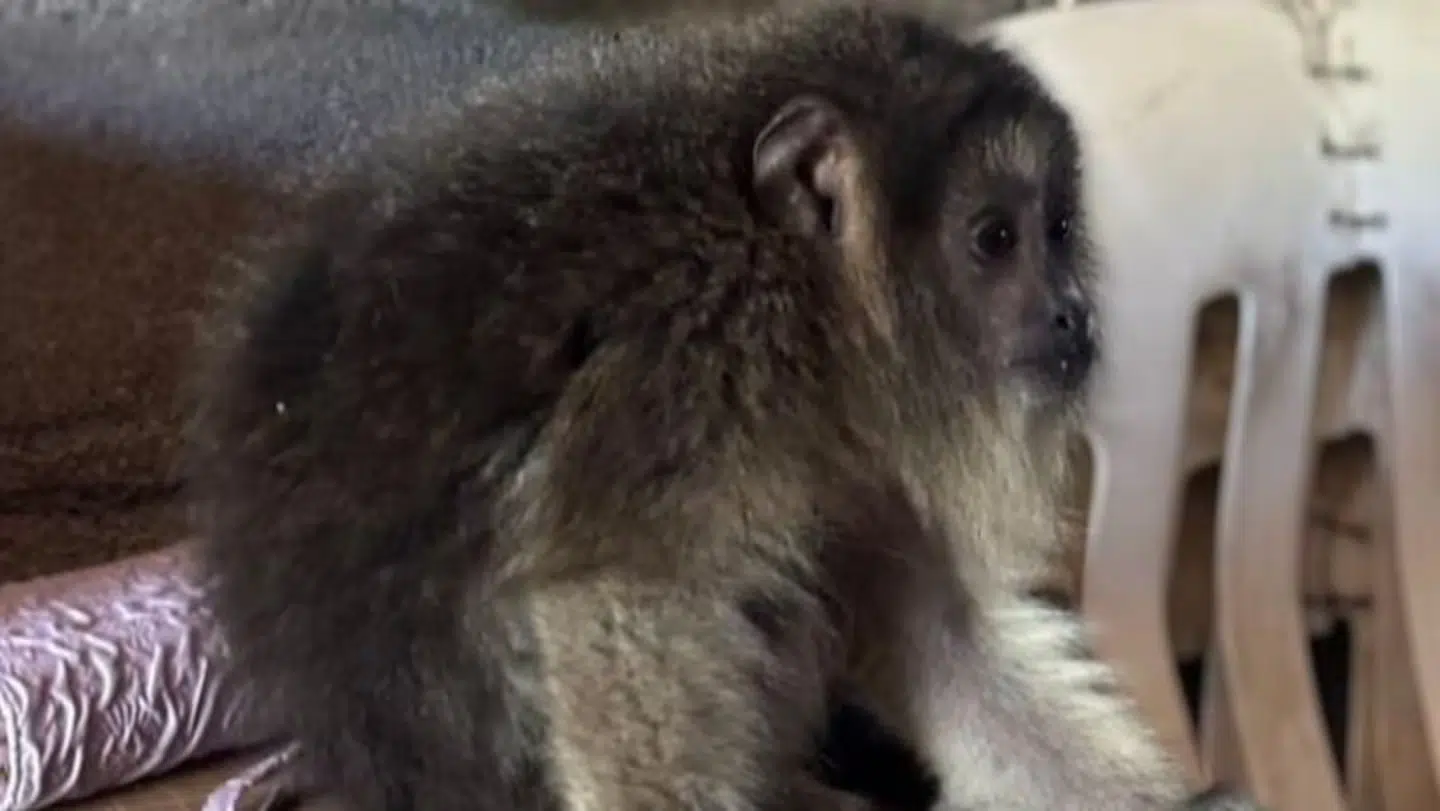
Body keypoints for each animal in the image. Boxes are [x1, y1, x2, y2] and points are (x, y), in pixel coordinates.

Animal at [184, 4, 1264, 811]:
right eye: (995, 238)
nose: (1073, 312)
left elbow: (936, 631)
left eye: (1059, 230)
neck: (804, 293)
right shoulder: (695, 355)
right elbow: (617, 594)